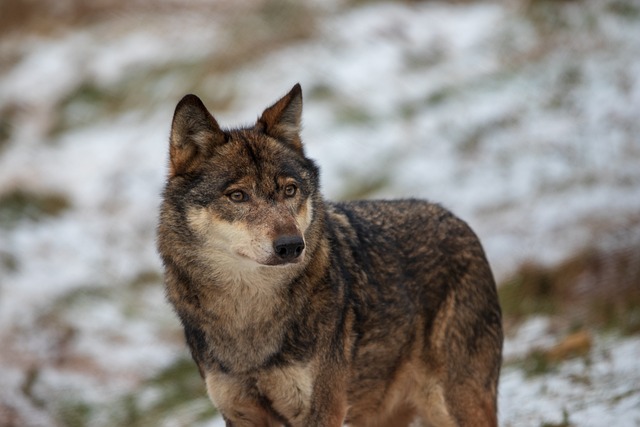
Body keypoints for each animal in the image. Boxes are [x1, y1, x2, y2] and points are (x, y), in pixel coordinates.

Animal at [158, 84, 502, 427]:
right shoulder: (240, 415)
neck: (249, 314)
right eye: (238, 196)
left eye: (290, 190)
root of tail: (455, 218)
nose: (291, 245)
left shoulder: (322, 410)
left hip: (454, 406)